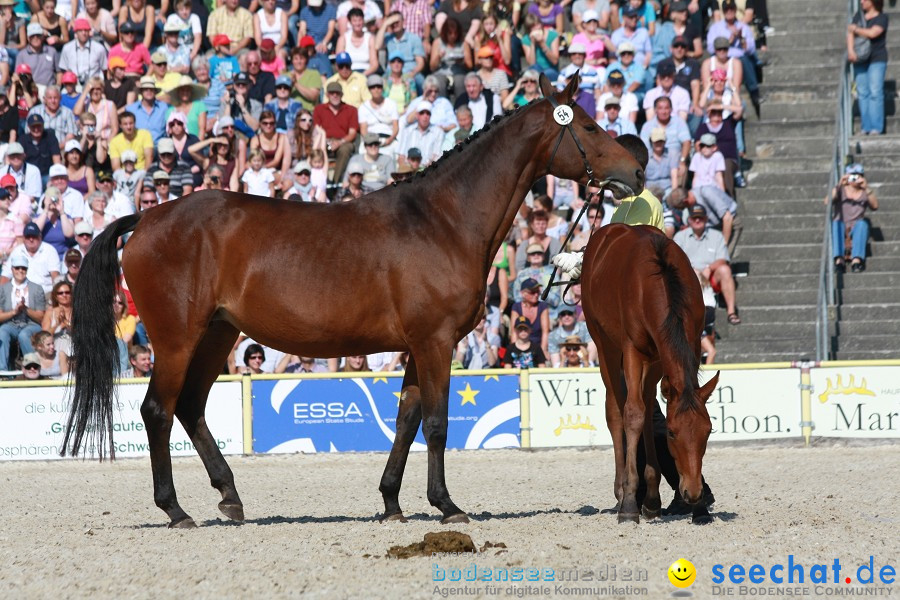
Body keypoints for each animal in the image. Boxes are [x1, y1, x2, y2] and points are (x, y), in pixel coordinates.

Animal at [59, 74, 644, 524]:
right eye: (589, 127)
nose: (636, 171)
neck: (443, 220)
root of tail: (147, 217)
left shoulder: (418, 347)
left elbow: (407, 419)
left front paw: (391, 503)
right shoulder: (435, 342)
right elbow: (436, 423)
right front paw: (446, 505)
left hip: (217, 334)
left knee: (190, 407)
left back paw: (230, 497)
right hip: (177, 339)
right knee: (157, 410)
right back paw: (176, 509)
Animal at [580, 225, 720, 524]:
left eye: (708, 431)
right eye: (672, 433)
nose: (693, 492)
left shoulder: (683, 346)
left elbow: (648, 412)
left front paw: (699, 508)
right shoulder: (632, 349)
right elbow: (632, 413)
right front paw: (629, 504)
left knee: (646, 406)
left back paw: (652, 498)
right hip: (605, 345)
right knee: (616, 410)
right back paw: (623, 492)